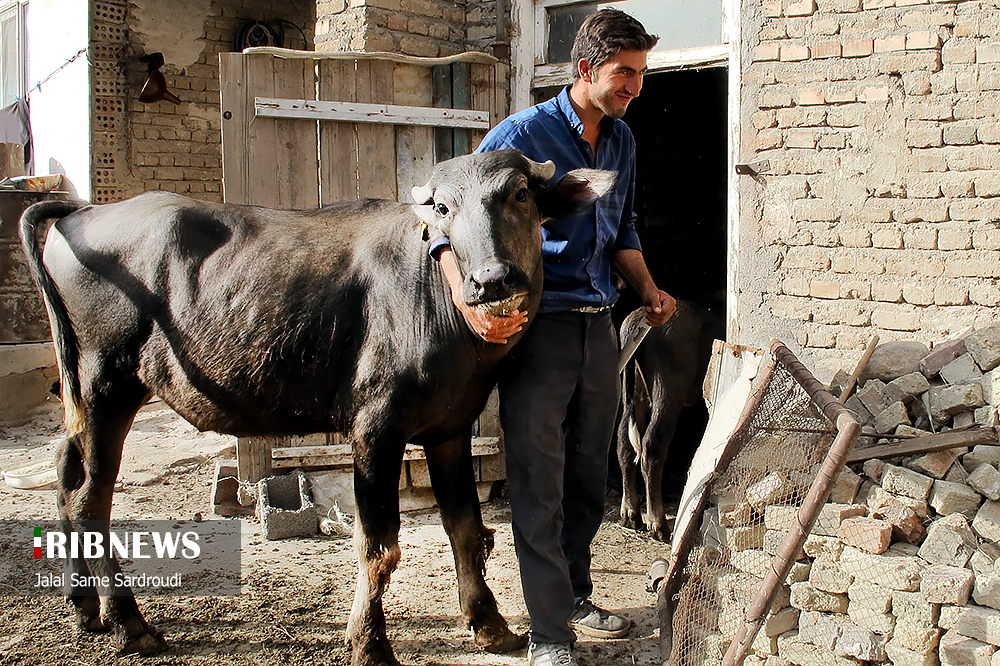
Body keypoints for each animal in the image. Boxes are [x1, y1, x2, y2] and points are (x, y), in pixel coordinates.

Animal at [21, 150, 616, 664]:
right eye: (445, 208)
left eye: (520, 194)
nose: (491, 278)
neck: (439, 301)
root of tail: (85, 211)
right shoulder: (375, 430)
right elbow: (379, 547)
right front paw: (370, 645)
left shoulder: (449, 429)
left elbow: (467, 529)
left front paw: (490, 626)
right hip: (107, 386)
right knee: (90, 498)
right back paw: (131, 624)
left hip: (88, 394)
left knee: (67, 473)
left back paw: (85, 609)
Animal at [612, 300, 724, 540]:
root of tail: (638, 316)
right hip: (667, 389)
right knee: (652, 446)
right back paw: (658, 523)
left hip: (635, 390)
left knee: (624, 441)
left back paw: (630, 514)